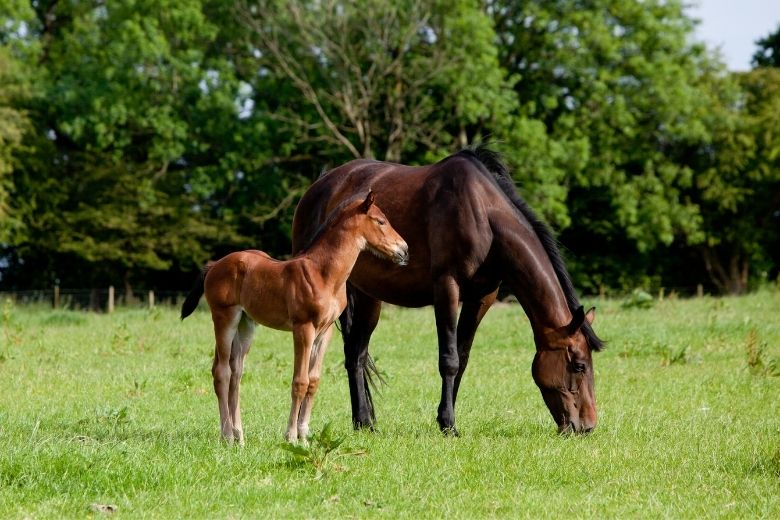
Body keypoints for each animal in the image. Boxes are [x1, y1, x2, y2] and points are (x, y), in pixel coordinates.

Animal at [179, 191, 406, 442]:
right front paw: (291, 435)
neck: (324, 274)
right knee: (222, 371)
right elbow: (300, 381)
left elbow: (313, 381)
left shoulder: (325, 332)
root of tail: (214, 265)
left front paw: (304, 434)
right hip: (224, 318)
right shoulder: (303, 328)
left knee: (236, 372)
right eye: (381, 221)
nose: (404, 250)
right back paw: (228, 435)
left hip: (246, 324)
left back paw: (240, 436)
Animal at [292, 146, 604, 434]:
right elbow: (449, 359)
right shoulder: (447, 287)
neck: (483, 215)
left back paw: (365, 422)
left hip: (369, 297)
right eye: (579, 365)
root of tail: (319, 186)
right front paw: (449, 424)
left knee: (356, 353)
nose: (587, 426)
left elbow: (462, 358)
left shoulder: (482, 297)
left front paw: (445, 419)